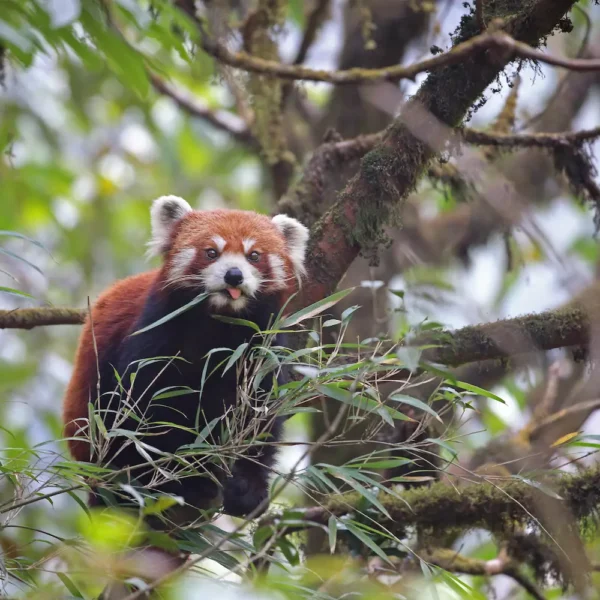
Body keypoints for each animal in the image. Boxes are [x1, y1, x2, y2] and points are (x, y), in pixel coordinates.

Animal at [63, 197, 310, 520]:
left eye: (254, 255)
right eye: (211, 252)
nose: (234, 275)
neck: (220, 323)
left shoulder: (261, 351)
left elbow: (260, 418)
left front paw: (247, 489)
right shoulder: (156, 335)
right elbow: (147, 410)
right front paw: (178, 479)